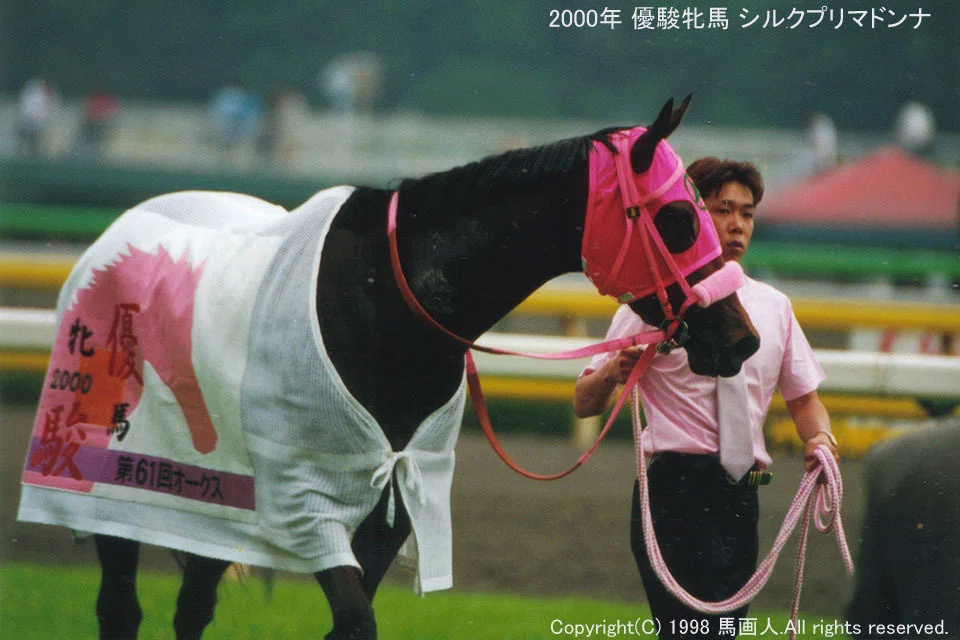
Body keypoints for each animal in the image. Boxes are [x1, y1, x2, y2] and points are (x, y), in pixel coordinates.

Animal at [18, 96, 760, 640]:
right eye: (679, 217)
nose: (742, 339)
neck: (387, 303)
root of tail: (114, 236)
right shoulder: (305, 496)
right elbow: (353, 619)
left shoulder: (395, 496)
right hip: (113, 479)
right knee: (121, 608)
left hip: (212, 497)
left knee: (191, 607)